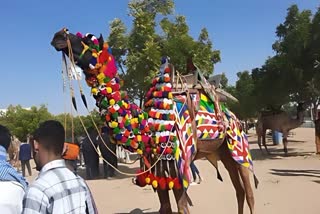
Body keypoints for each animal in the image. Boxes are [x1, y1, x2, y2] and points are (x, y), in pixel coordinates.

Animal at [51, 28, 258, 214]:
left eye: (88, 38)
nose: (59, 35)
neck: (148, 126)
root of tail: (234, 116)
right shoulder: (157, 170)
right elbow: (165, 207)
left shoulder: (178, 168)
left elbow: (182, 208)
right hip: (223, 152)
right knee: (239, 191)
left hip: (238, 147)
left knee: (248, 192)